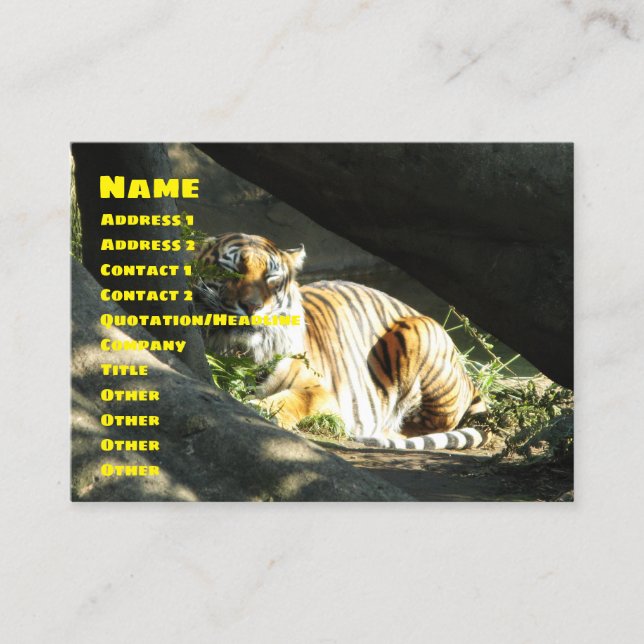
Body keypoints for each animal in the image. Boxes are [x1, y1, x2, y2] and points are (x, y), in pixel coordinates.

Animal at [192, 232, 487, 450]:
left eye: (271, 277)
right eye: (231, 270)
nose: (252, 306)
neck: (242, 351)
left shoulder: (323, 391)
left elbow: (294, 399)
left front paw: (258, 408)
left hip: (420, 333)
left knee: (428, 425)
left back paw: (384, 433)